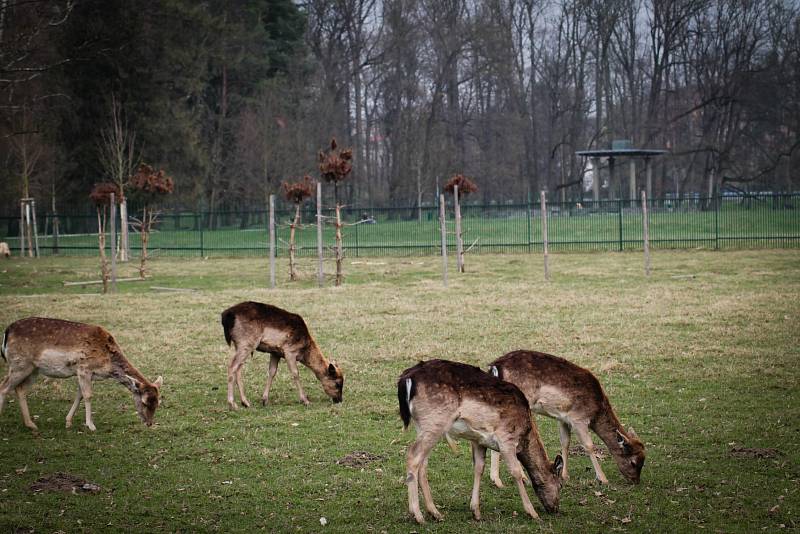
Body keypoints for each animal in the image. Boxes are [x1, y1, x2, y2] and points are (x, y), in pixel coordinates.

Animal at [0, 318, 164, 432]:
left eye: (158, 403)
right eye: (144, 402)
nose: (149, 423)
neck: (108, 363)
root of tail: (7, 332)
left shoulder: (88, 374)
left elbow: (79, 395)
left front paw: (68, 422)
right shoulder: (84, 368)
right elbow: (88, 395)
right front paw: (91, 425)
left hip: (33, 369)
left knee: (20, 389)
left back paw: (31, 424)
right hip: (19, 364)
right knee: (4, 386)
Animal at [398, 358, 564, 524]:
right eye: (560, 485)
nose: (555, 509)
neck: (525, 433)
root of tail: (406, 378)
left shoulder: (479, 441)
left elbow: (479, 468)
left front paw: (476, 512)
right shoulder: (506, 438)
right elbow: (516, 471)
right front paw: (533, 513)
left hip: (423, 426)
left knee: (423, 463)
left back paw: (435, 513)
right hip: (435, 422)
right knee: (413, 456)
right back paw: (418, 515)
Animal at [484, 352, 648, 490]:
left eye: (643, 461)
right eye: (634, 462)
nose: (635, 481)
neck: (596, 410)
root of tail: (495, 366)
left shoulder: (563, 418)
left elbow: (565, 442)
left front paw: (565, 475)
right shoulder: (578, 418)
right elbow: (588, 445)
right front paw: (603, 478)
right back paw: (502, 481)